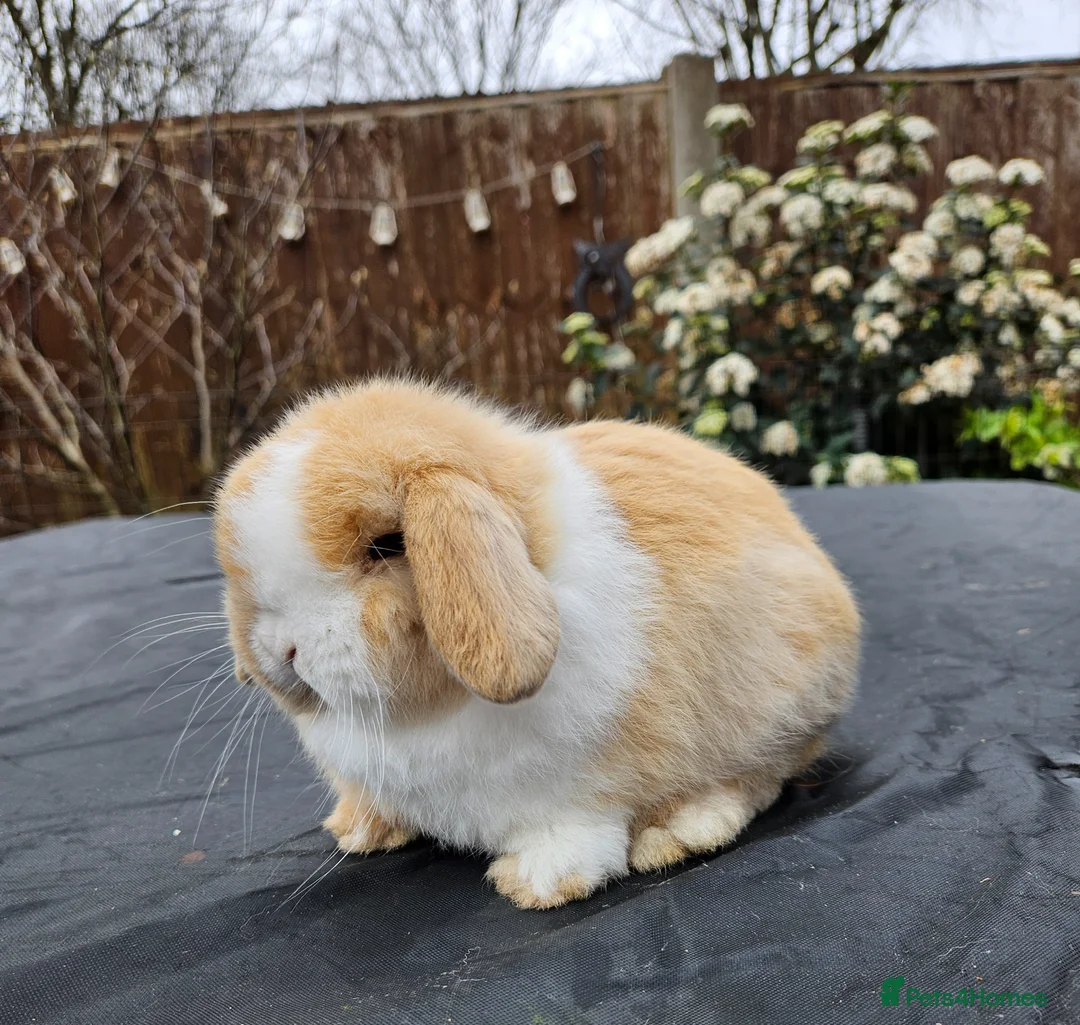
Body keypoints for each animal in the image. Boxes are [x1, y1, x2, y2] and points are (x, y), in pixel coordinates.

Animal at [213, 377, 860, 909]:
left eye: (386, 546)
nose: (282, 650)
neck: (424, 714)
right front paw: (360, 829)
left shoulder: (582, 784)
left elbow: (572, 826)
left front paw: (538, 883)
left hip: (775, 706)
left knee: (761, 777)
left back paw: (678, 830)